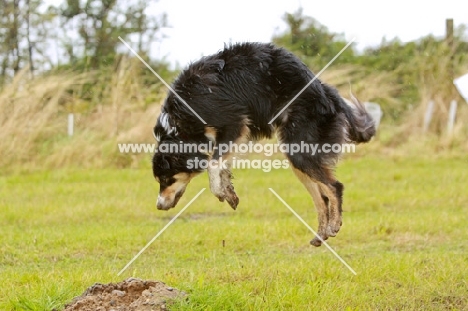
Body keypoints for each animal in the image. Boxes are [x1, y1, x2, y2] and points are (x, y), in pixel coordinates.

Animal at [152, 42, 374, 246]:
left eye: (166, 179)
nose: (159, 206)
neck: (179, 123)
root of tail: (327, 92)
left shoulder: (234, 122)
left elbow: (213, 165)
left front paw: (222, 192)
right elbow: (221, 166)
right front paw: (229, 192)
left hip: (299, 146)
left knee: (334, 187)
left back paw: (334, 225)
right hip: (296, 155)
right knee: (321, 197)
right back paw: (321, 235)